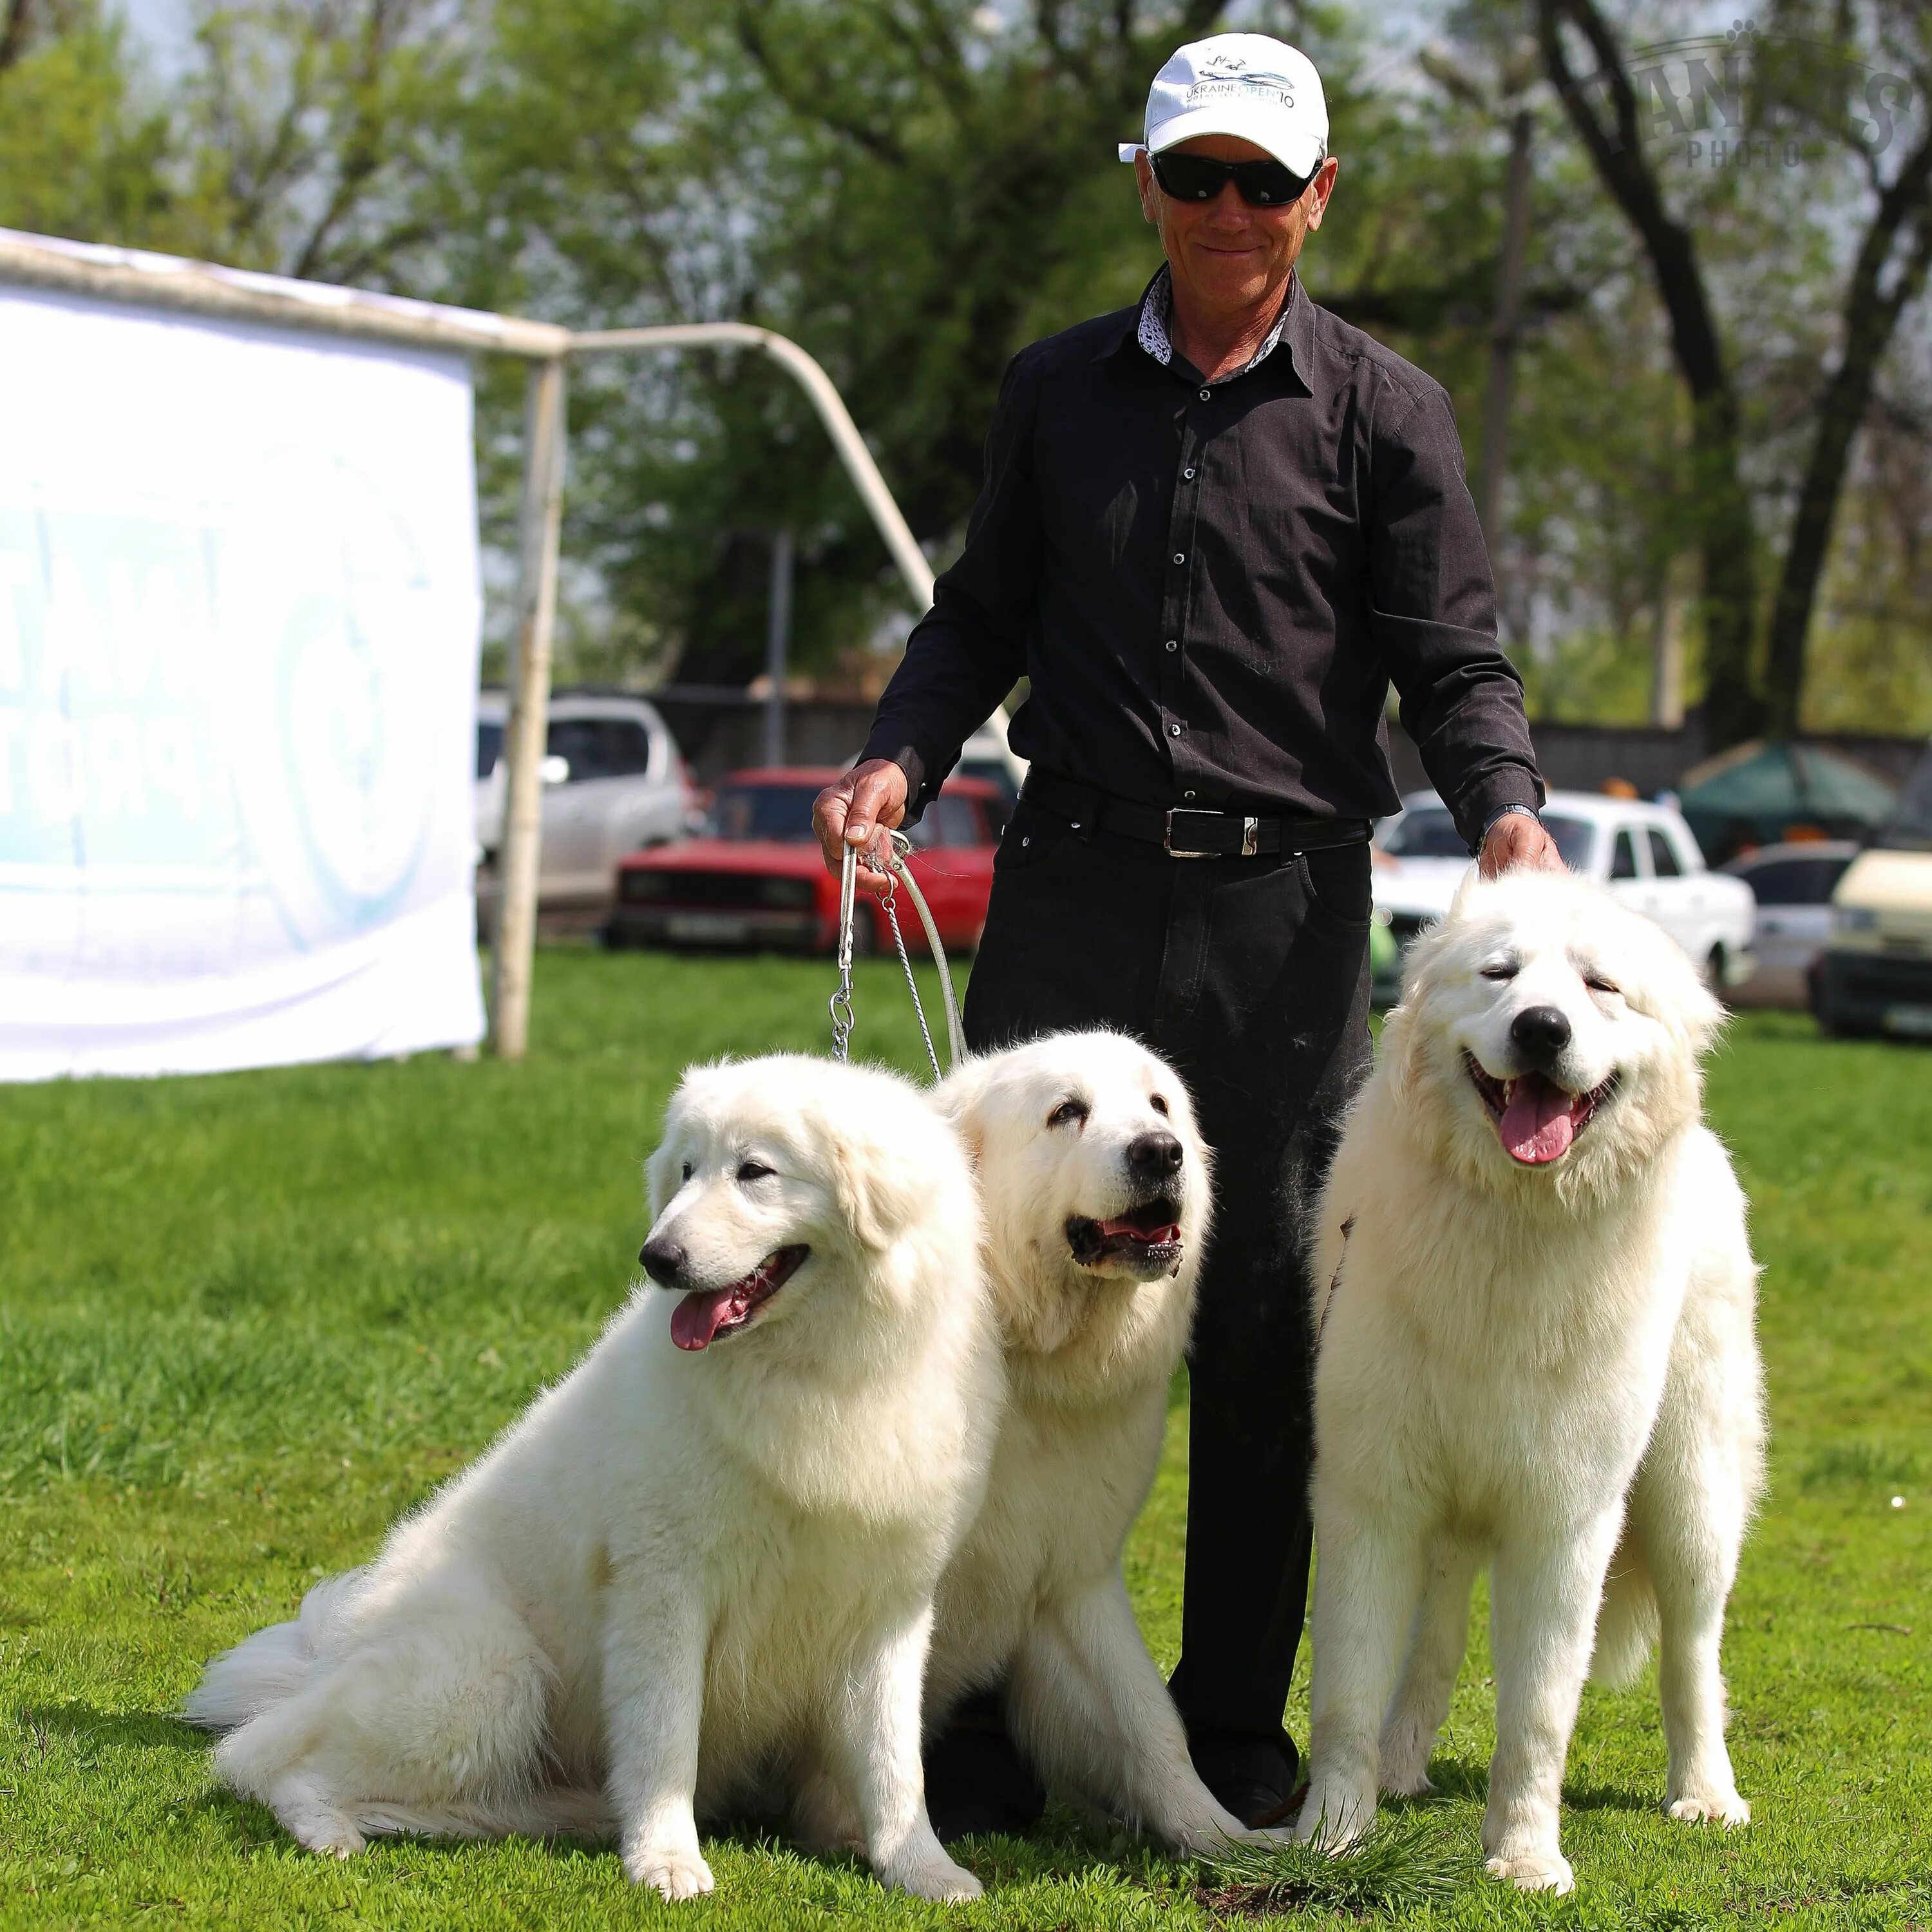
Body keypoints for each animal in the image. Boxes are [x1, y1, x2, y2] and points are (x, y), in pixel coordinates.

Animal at [186, 1059, 1005, 1901]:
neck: (823, 1374)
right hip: (493, 1677)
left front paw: (923, 1870)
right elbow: (664, 1741)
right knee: (268, 1765)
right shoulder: (663, 1589)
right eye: (687, 1170)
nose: (657, 1259)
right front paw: (666, 1862)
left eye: (754, 1171)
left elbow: (893, 1764)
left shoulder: (888, 1612)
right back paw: (329, 1834)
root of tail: (323, 1662)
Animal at [1298, 869, 1770, 1893]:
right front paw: (1333, 1836)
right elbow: (1347, 1692)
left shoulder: (1565, 1520)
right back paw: (1399, 1766)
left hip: (1691, 1492)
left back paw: (1707, 1794)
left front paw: (1523, 1858)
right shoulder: (1373, 1497)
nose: (1543, 1029)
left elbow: (1539, 1717)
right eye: (1500, 974)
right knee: (1433, 1642)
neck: (1511, 1229)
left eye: (1599, 986)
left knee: (1694, 1651)